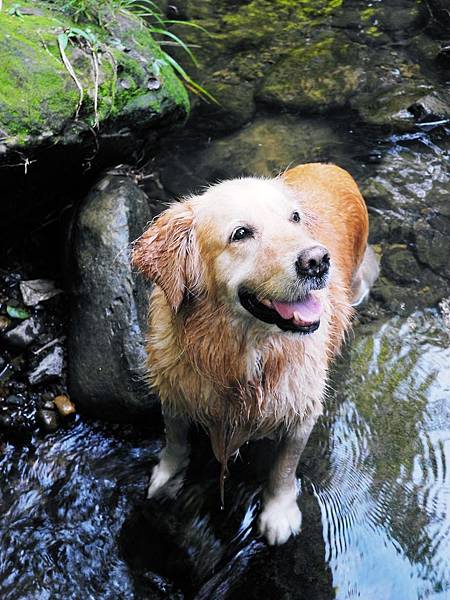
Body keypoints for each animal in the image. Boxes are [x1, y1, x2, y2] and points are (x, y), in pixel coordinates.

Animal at [132, 163, 378, 544]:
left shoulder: (301, 411)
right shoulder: (174, 390)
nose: (318, 261)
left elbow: (284, 466)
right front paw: (167, 477)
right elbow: (175, 438)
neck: (242, 354)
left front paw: (278, 513)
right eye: (241, 233)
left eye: (295, 218)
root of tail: (330, 166)